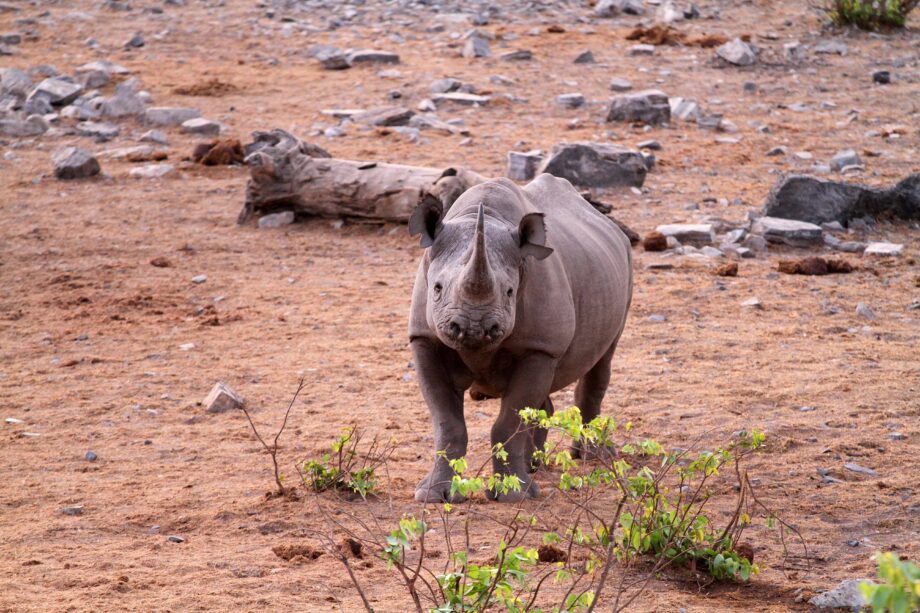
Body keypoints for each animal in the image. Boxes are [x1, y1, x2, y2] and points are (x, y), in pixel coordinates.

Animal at [408, 173, 633, 502]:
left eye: (510, 292)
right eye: (436, 288)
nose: (473, 328)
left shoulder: (538, 347)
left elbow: (509, 421)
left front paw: (513, 495)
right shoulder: (425, 339)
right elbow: (447, 423)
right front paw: (434, 495)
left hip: (626, 267)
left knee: (602, 361)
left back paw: (593, 457)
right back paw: (534, 465)